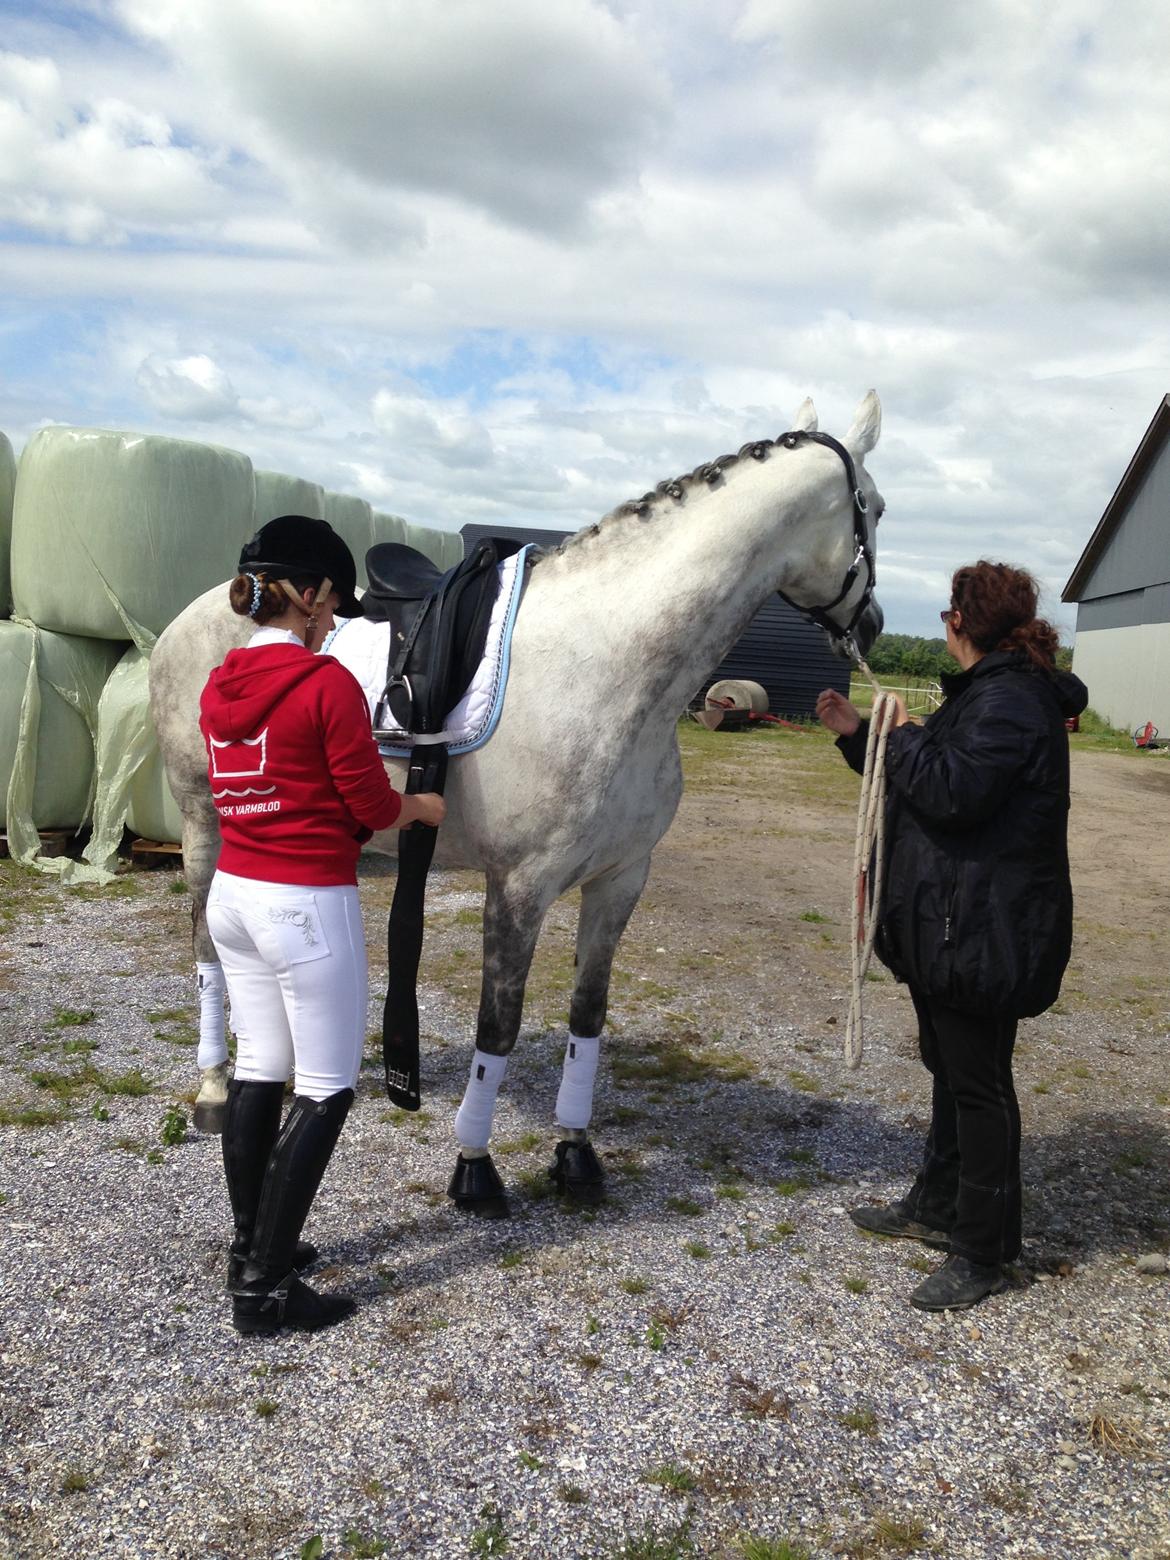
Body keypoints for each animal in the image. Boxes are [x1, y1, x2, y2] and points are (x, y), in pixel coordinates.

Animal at [153, 393, 886, 1216]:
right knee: (207, 946)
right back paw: (216, 1090)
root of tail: (202, 611)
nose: (874, 625)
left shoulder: (621, 879)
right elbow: (497, 1028)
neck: (610, 663)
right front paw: (474, 1166)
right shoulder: (521, 887)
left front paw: (575, 1153)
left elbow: (587, 1014)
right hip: (204, 825)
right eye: (877, 509)